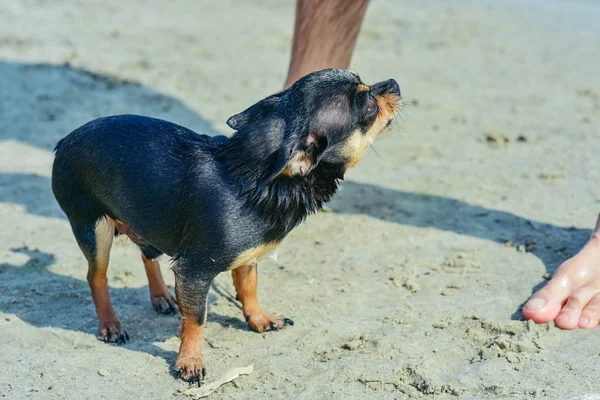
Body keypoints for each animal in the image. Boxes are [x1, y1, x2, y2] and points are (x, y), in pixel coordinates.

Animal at [50, 69, 398, 384]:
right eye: (368, 105)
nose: (392, 83)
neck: (259, 181)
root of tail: (64, 141)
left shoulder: (247, 258)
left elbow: (249, 288)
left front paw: (259, 319)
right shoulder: (194, 272)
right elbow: (196, 319)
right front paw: (190, 361)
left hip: (148, 221)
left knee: (148, 255)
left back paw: (161, 296)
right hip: (95, 230)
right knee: (97, 278)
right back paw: (110, 324)